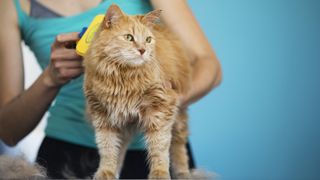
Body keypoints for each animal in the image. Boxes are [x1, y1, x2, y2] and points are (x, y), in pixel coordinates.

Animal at [84, 3, 191, 179]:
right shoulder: (103, 116)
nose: (142, 50)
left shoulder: (162, 108)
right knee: (121, 149)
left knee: (179, 146)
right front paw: (106, 172)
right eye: (129, 37)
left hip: (179, 117)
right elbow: (107, 148)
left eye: (148, 40)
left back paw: (183, 172)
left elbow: (159, 147)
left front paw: (160, 173)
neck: (123, 77)